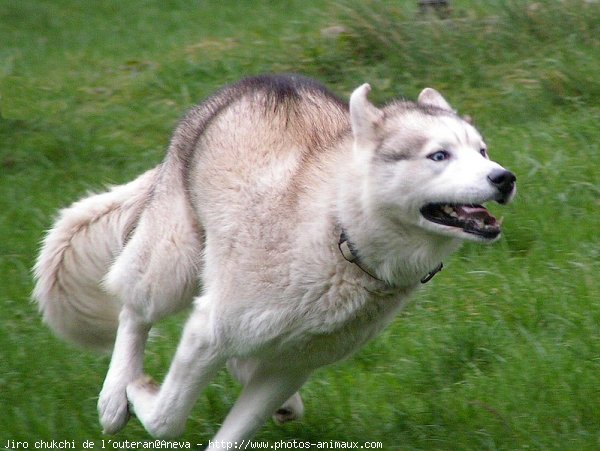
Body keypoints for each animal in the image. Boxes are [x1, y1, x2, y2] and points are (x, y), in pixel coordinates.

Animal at [34, 74, 516, 442]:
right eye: (439, 155)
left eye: (482, 151)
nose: (505, 178)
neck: (339, 236)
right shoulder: (207, 331)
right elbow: (166, 419)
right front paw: (136, 392)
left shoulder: (291, 366)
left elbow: (230, 434)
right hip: (171, 268)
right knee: (132, 310)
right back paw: (113, 397)